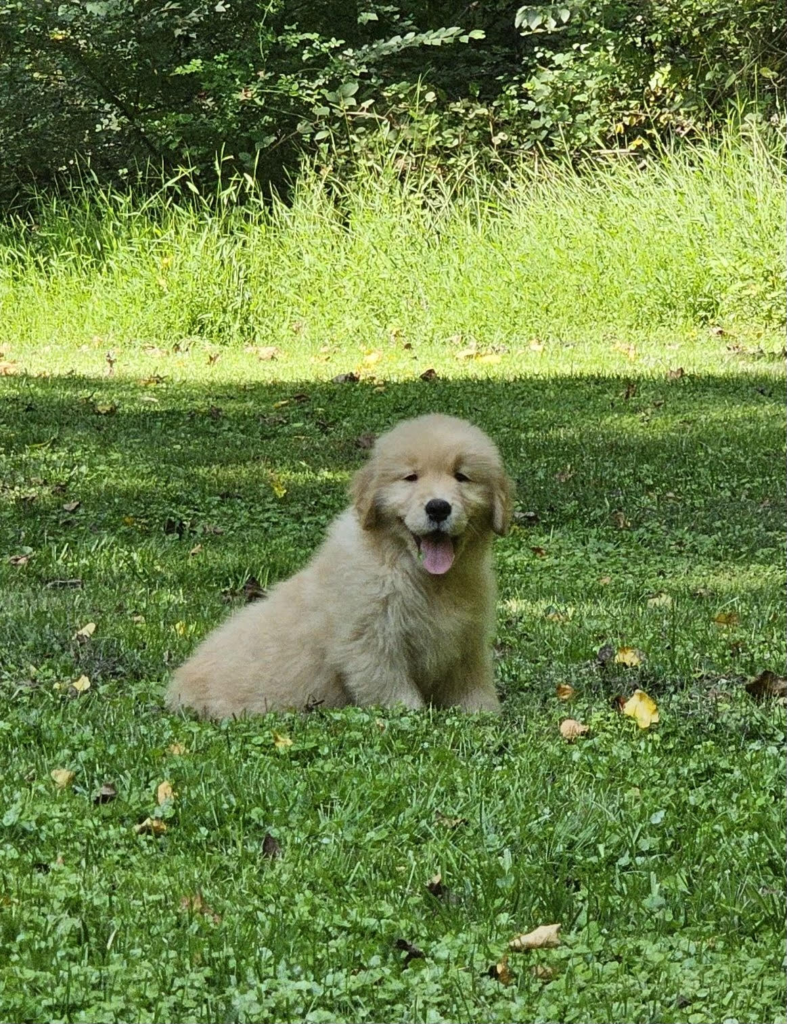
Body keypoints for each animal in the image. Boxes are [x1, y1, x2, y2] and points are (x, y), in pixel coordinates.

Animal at [164, 411, 509, 716]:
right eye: (410, 477)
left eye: (462, 477)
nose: (438, 508)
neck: (410, 569)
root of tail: (177, 688)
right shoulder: (370, 643)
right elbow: (395, 693)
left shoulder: (467, 642)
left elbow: (474, 686)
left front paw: (485, 716)